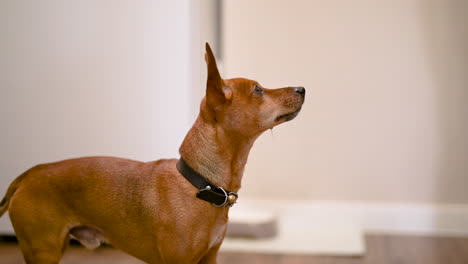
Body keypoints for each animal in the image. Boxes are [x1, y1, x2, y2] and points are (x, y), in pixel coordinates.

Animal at [0, 43, 306, 264]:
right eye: (258, 90)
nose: (302, 88)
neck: (200, 183)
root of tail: (30, 174)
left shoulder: (209, 258)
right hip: (43, 250)